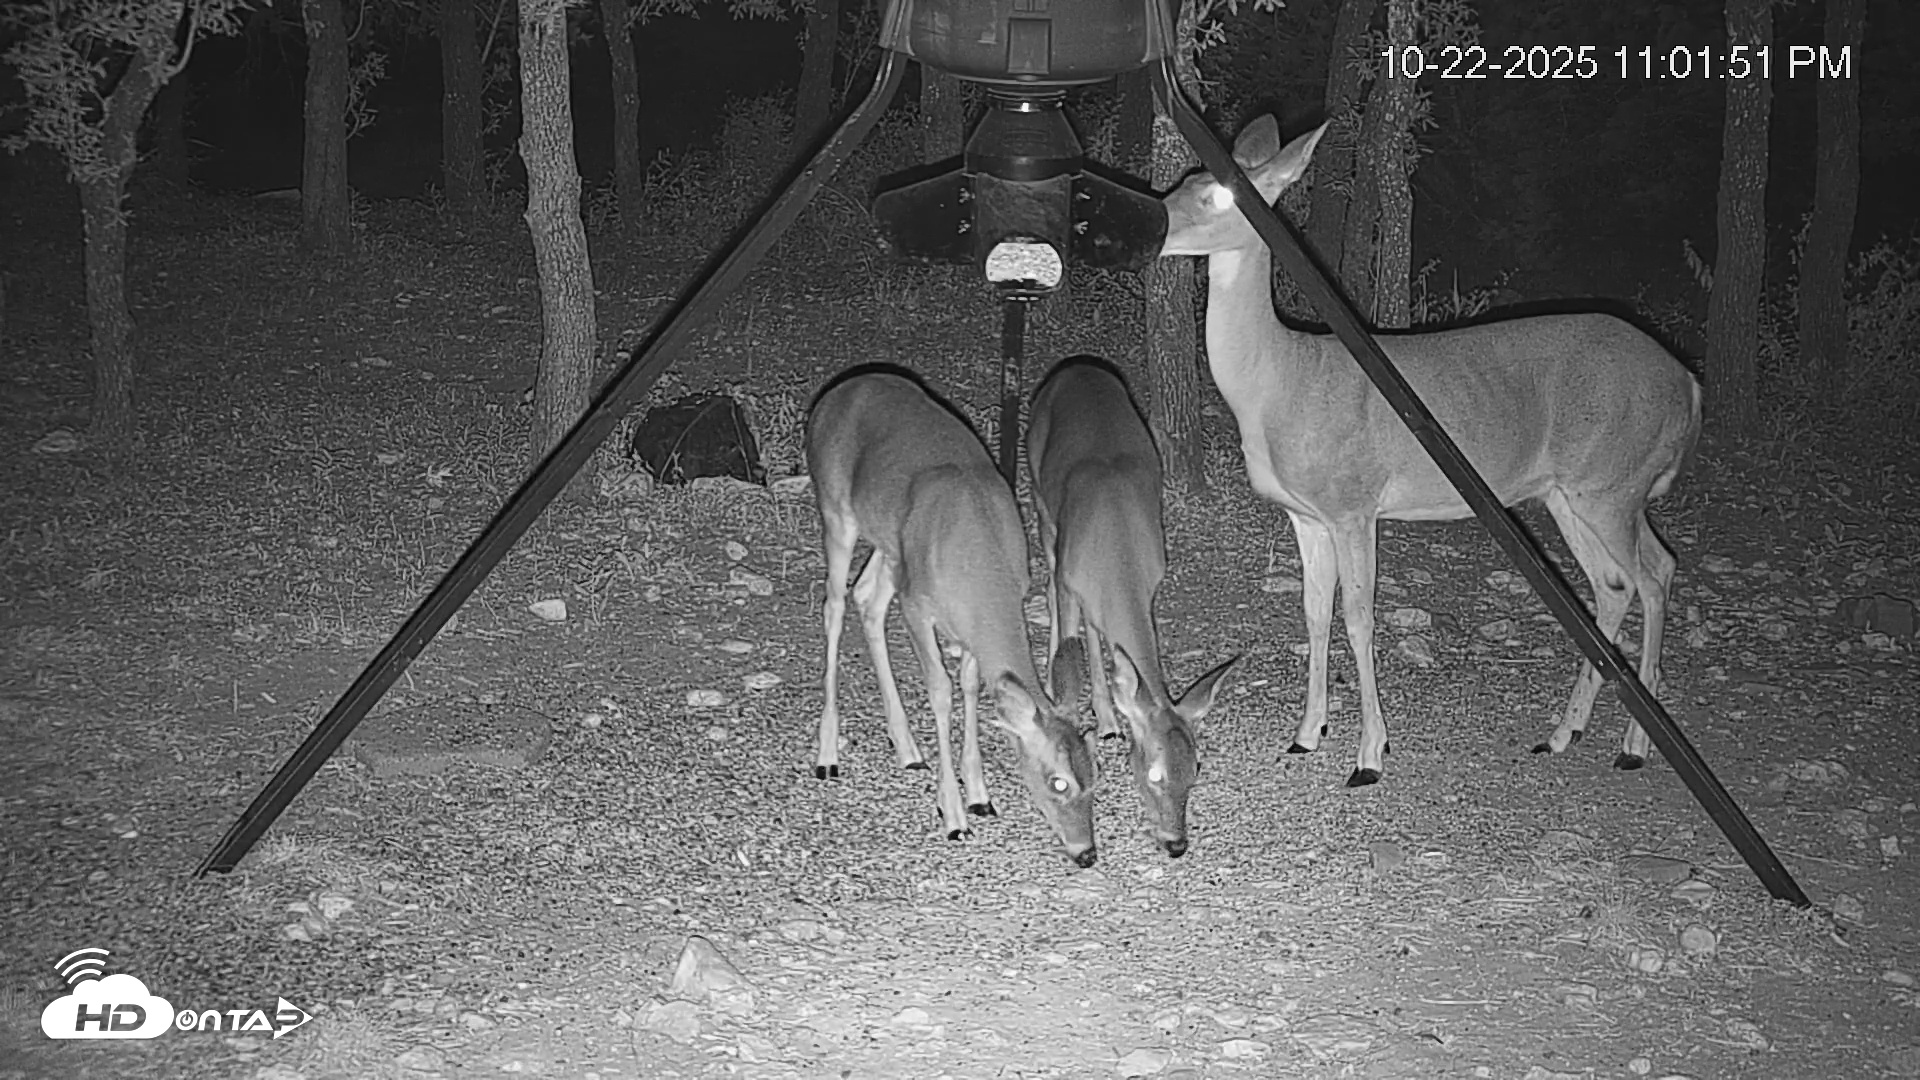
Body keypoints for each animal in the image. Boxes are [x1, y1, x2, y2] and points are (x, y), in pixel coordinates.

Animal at [806, 365, 1099, 866]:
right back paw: (828, 755)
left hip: (891, 546)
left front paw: (979, 795)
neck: (982, 571)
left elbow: (971, 687)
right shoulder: (918, 605)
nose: (1086, 853)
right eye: (1058, 781)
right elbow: (941, 691)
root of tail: (835, 395)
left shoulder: (972, 628)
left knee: (867, 598)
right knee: (835, 605)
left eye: (1095, 773)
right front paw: (953, 814)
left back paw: (907, 748)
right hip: (835, 511)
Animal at [1026, 356, 1236, 858]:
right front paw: (1084, 715)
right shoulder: (1070, 578)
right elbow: (1071, 635)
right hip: (1041, 499)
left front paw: (1107, 718)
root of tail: (1076, 368)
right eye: (1153, 774)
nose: (1176, 843)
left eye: (1196, 770)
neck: (1117, 550)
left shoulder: (1149, 585)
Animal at [1159, 116, 1701, 788]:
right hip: (1572, 494)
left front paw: (1370, 756)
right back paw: (1562, 733)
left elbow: (1359, 617)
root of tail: (1689, 383)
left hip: (1615, 483)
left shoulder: (1354, 503)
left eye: (1216, 194)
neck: (1280, 382)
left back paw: (1635, 744)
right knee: (1618, 584)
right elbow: (1313, 613)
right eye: (1186, 178)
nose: (1153, 220)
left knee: (1654, 576)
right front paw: (1307, 734)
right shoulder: (1305, 514)